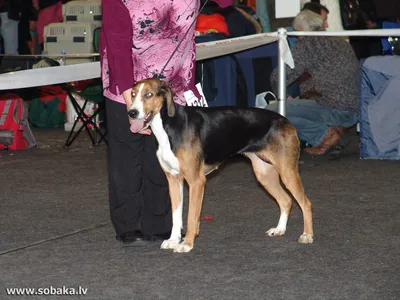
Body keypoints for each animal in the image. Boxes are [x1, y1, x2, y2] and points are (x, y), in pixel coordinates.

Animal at [126, 78, 314, 253]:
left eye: (148, 94)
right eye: (133, 94)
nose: (132, 113)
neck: (168, 126)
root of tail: (285, 120)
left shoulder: (196, 182)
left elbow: (191, 216)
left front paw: (186, 243)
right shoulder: (174, 179)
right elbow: (176, 215)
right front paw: (173, 240)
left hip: (288, 173)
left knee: (306, 203)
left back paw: (307, 235)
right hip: (264, 174)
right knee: (286, 201)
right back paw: (280, 229)